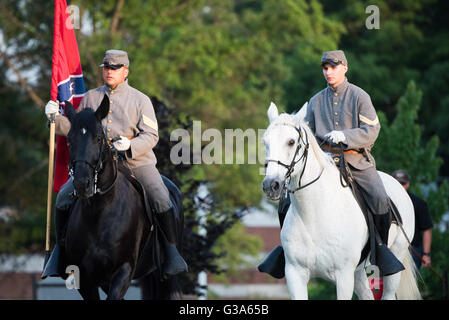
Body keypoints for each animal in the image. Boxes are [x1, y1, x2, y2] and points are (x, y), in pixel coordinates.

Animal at [262, 102, 420, 300]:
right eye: (265, 142)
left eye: (291, 142)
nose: (271, 185)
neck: (314, 213)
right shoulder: (295, 275)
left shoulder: (344, 276)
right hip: (358, 273)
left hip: (393, 265)